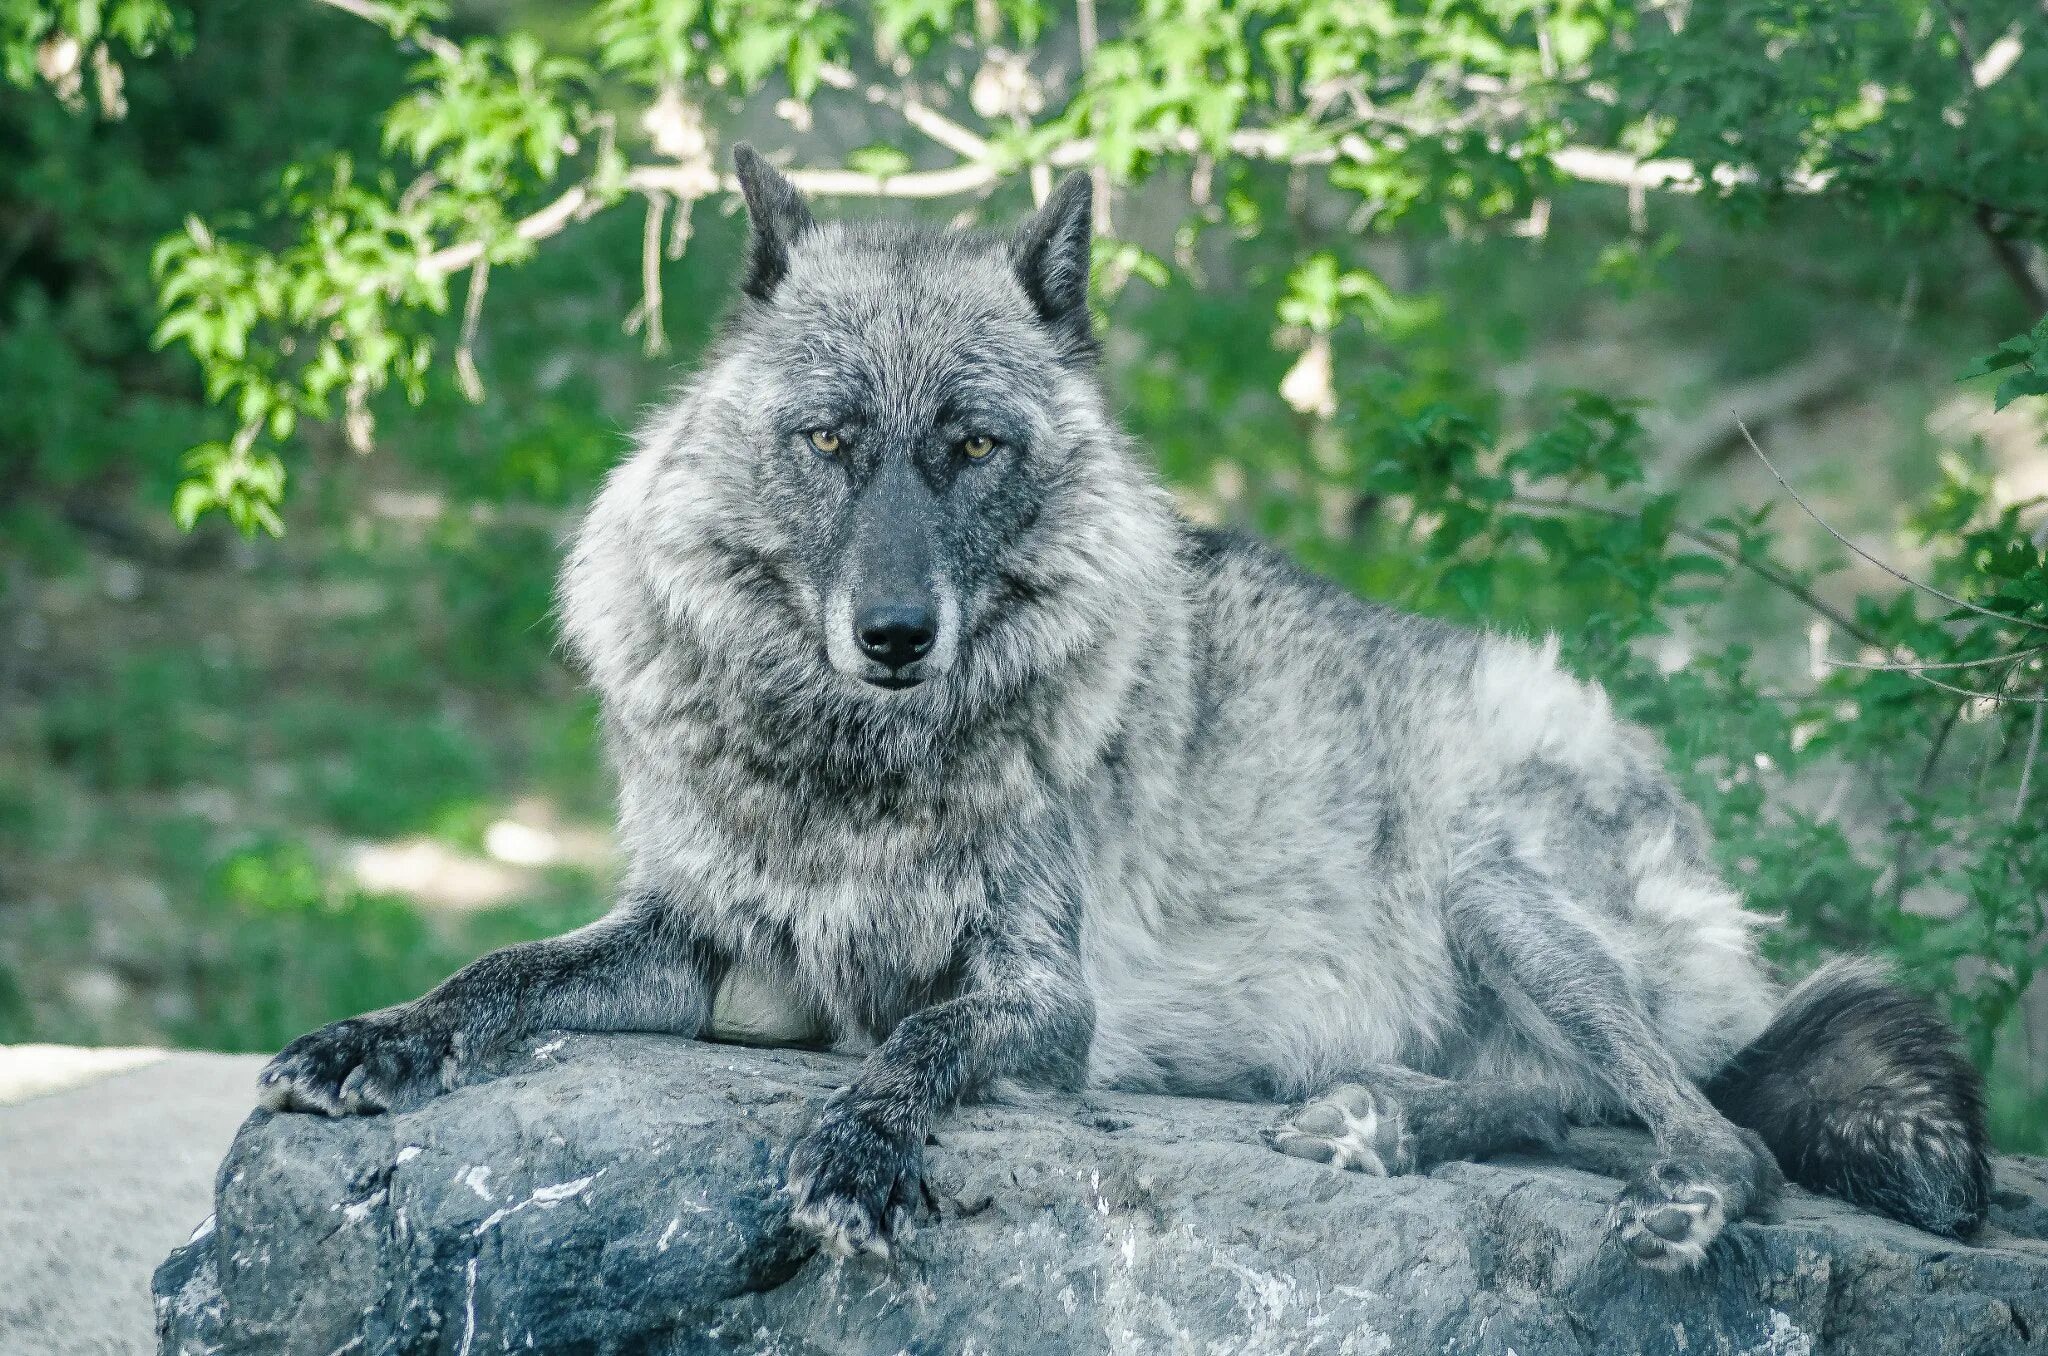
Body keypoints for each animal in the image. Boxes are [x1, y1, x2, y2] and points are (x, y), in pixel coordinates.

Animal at [256, 148, 1982, 1278]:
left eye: (971, 445)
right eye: (829, 441)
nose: (896, 635)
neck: (854, 775)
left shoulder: (1043, 994)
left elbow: (920, 1042)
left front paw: (855, 1150)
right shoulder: (703, 943)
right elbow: (497, 970)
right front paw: (372, 1040)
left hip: (1493, 882)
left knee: (1701, 1124)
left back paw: (1537, 1162)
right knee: (1557, 1099)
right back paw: (1372, 1120)